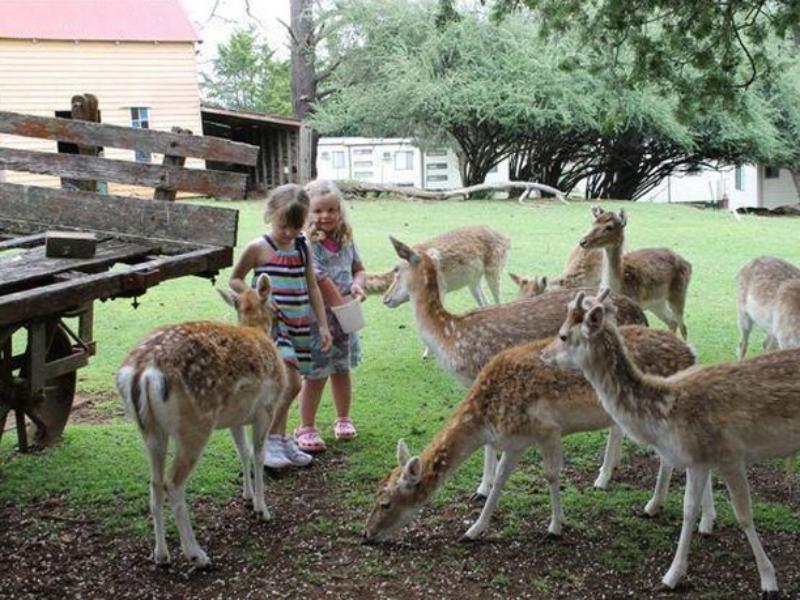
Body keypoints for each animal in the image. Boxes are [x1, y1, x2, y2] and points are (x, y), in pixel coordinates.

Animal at [115, 276, 284, 568]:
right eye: (274, 304)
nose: (281, 314)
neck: (256, 330)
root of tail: (142, 371)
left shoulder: (236, 417)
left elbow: (243, 452)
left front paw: (248, 497)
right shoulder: (266, 408)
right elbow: (259, 454)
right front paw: (262, 509)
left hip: (150, 430)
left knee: (155, 483)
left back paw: (161, 554)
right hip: (194, 425)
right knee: (173, 483)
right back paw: (197, 554)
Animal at [384, 237, 652, 504]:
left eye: (396, 269)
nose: (386, 299)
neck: (450, 336)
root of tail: (642, 316)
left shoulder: (483, 376)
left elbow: (488, 444)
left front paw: (483, 488)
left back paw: (603, 477)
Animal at [536, 288, 800, 592]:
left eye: (563, 335)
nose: (543, 354)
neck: (667, 410)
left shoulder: (730, 455)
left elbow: (744, 515)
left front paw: (768, 578)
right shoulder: (697, 460)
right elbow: (689, 510)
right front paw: (673, 574)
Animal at [580, 206, 692, 338]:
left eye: (609, 227)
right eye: (593, 223)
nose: (583, 241)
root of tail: (688, 264)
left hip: (679, 294)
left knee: (683, 326)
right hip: (657, 303)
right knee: (672, 322)